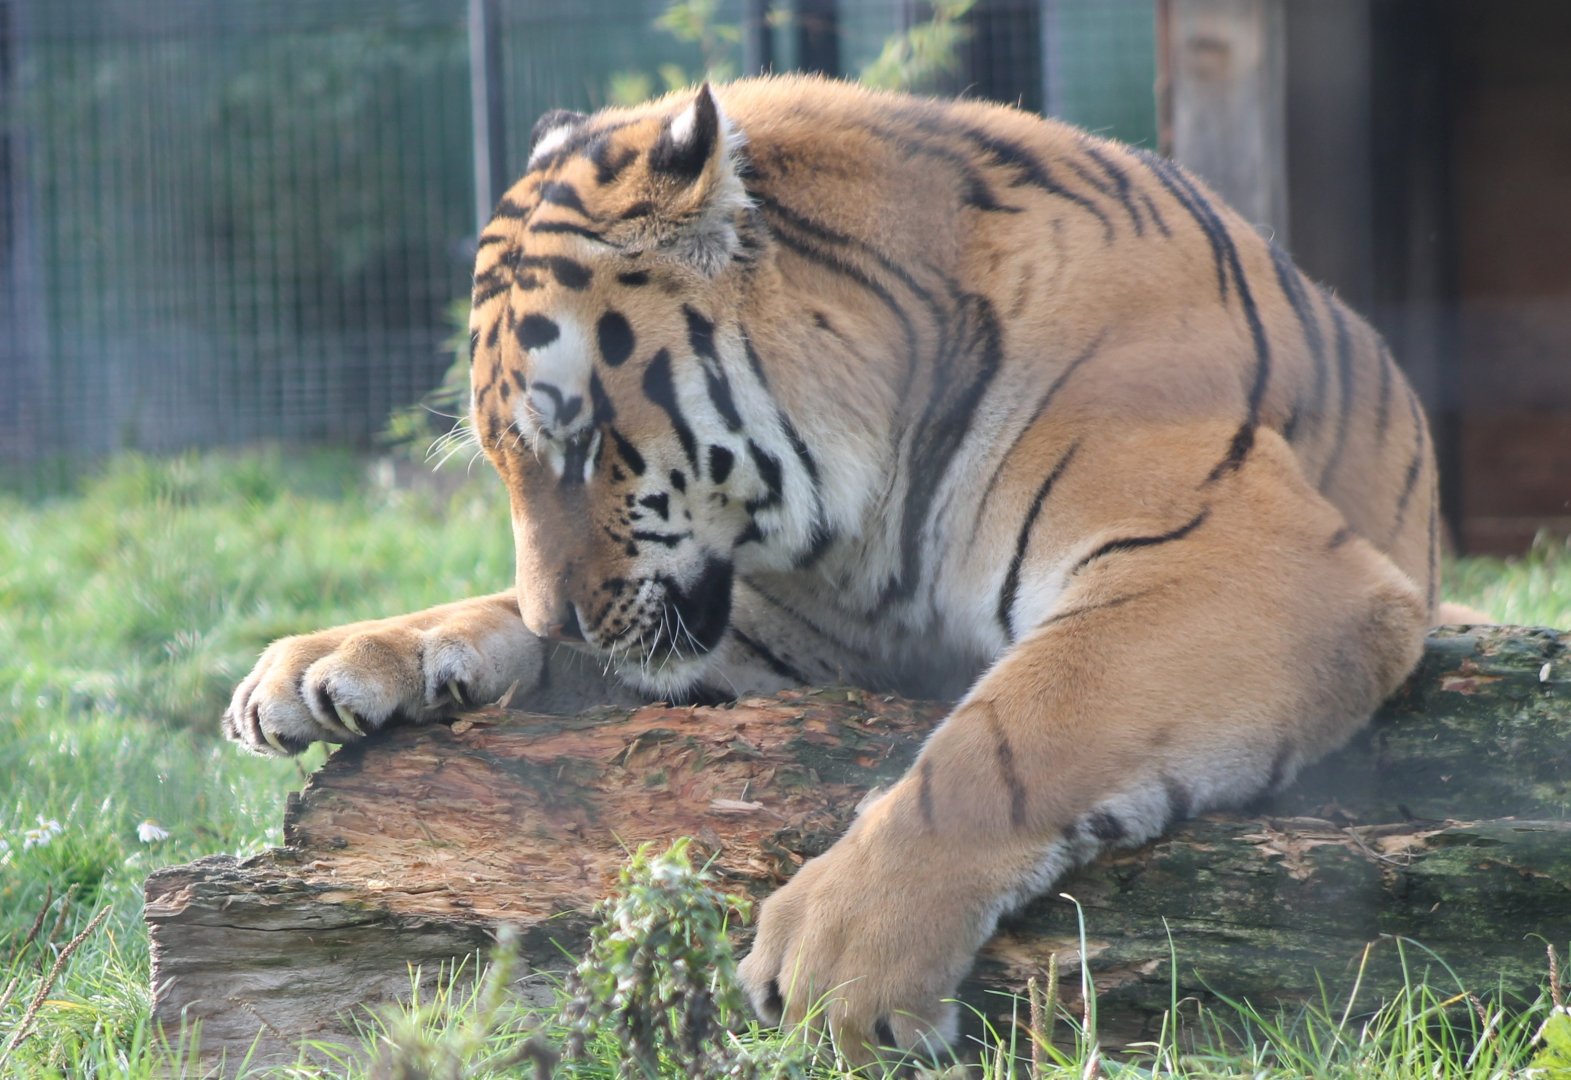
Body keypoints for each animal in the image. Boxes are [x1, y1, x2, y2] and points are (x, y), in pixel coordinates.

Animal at [223, 74, 1470, 1063]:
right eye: (498, 455)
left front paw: (833, 964)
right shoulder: (788, 633)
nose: (563, 622)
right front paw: (330, 666)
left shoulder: (1245, 563)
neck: (868, 510)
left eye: (576, 443)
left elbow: (1009, 737)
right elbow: (490, 615)